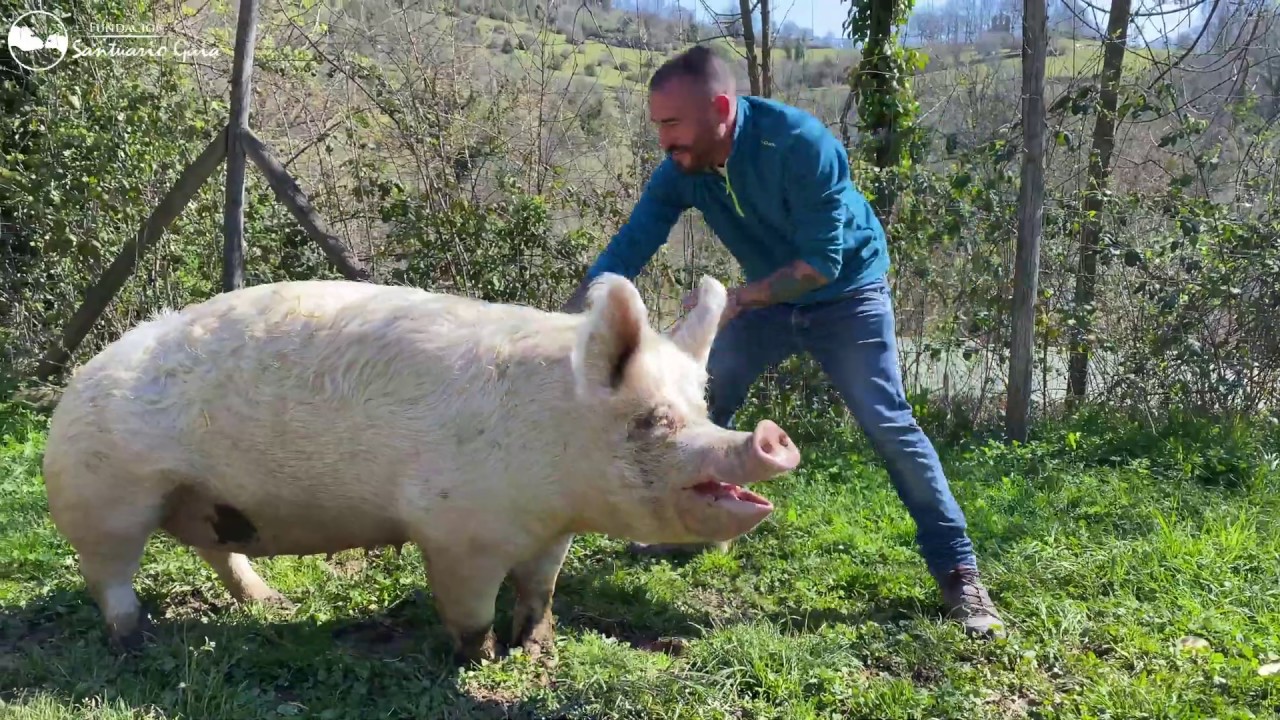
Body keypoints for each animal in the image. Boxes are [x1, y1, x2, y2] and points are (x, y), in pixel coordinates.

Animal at [41, 272, 801, 665]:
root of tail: (74, 384)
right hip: (106, 496)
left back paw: (271, 604)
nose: (770, 438)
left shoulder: (550, 534)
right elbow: (467, 607)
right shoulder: (455, 530)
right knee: (108, 575)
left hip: (201, 502)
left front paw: (536, 648)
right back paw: (137, 640)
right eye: (651, 421)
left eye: (700, 406)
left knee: (217, 551)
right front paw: (483, 659)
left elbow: (541, 590)